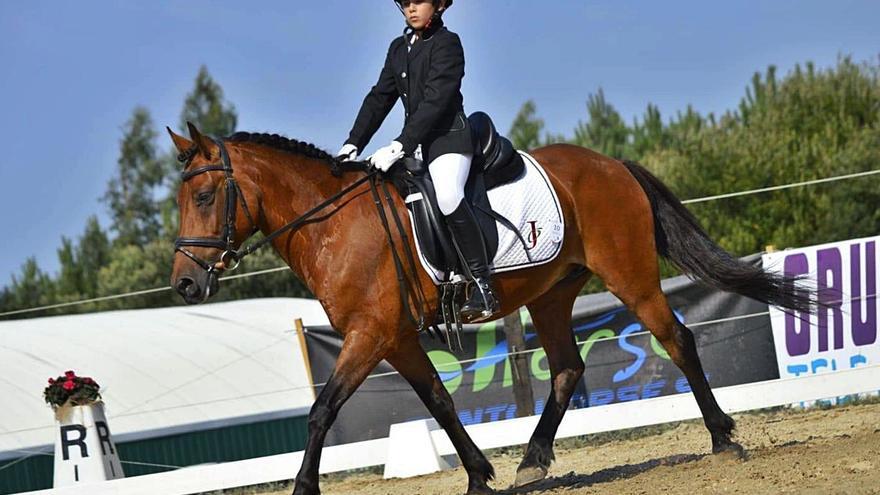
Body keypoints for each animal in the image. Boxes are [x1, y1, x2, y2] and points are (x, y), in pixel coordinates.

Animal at [168, 121, 816, 495]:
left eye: (205, 195)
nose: (185, 286)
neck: (332, 224)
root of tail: (610, 164)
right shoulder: (395, 338)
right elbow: (439, 401)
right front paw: (480, 476)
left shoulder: (369, 334)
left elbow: (322, 410)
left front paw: (304, 488)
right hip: (553, 294)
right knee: (567, 368)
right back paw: (532, 460)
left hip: (630, 276)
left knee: (677, 340)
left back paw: (724, 441)